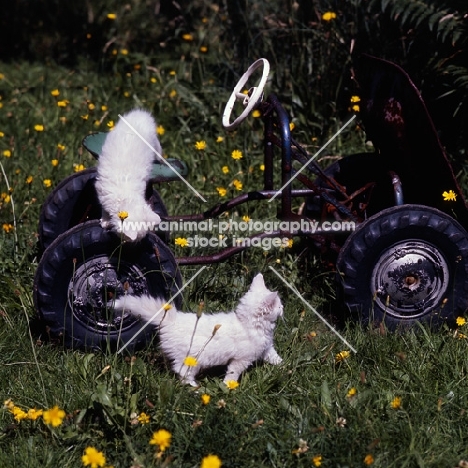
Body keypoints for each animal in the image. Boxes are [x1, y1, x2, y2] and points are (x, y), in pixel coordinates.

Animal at [94, 109, 164, 241]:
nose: (126, 243)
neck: (125, 196)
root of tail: (143, 114)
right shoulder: (102, 192)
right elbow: (104, 209)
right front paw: (105, 220)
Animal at [113, 272, 284, 386]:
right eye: (279, 305)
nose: (283, 308)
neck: (248, 324)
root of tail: (173, 320)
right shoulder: (241, 360)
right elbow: (232, 374)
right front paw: (229, 386)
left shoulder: (266, 348)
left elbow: (275, 357)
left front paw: (284, 366)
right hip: (193, 359)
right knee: (182, 372)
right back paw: (194, 388)